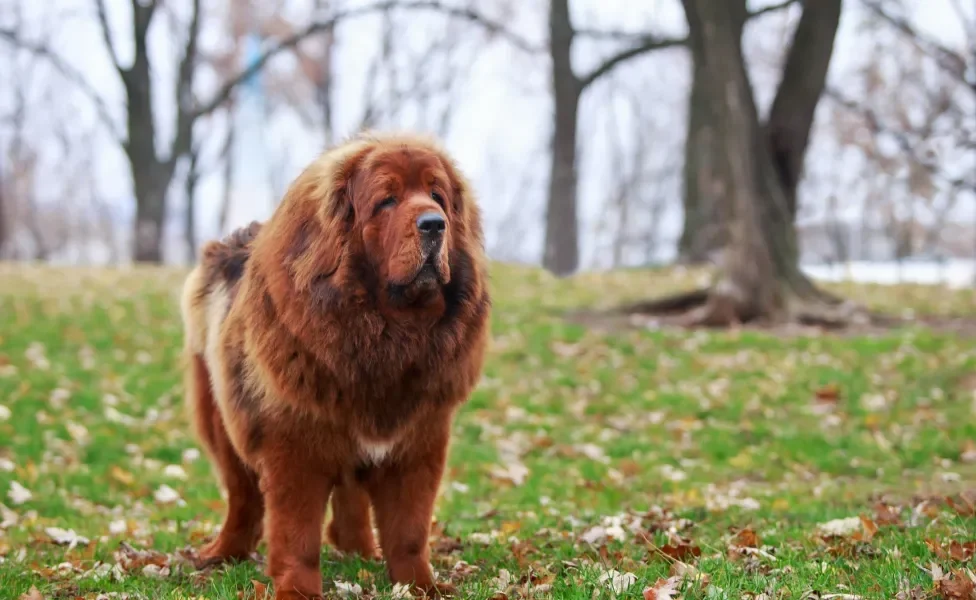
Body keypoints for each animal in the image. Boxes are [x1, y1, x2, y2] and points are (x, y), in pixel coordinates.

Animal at [180, 132, 492, 600]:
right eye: (387, 200)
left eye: (437, 197)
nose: (434, 224)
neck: (387, 336)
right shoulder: (294, 447)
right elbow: (297, 535)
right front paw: (298, 590)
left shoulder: (418, 444)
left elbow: (409, 531)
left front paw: (419, 586)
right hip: (222, 419)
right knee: (242, 498)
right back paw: (221, 554)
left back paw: (358, 549)